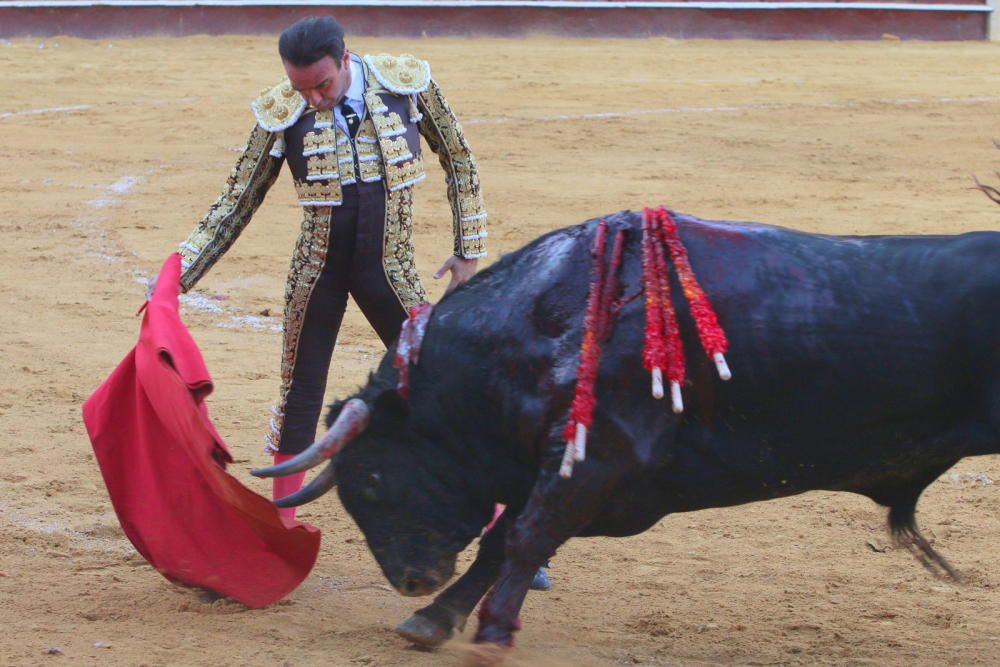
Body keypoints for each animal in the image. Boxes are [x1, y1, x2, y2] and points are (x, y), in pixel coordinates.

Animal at [252, 211, 1000, 656]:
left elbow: (521, 536)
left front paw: (487, 628)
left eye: (374, 477)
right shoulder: (570, 467)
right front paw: (435, 617)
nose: (411, 578)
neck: (544, 322)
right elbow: (503, 539)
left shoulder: (596, 461)